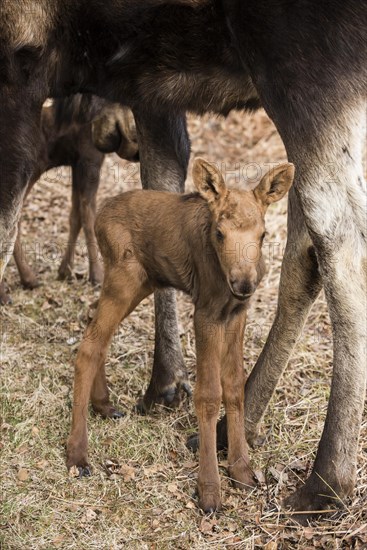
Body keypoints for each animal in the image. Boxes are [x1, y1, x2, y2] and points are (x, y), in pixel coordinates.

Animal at [0, 98, 138, 306]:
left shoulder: (75, 161)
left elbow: (75, 215)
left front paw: (65, 270)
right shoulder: (90, 155)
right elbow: (88, 215)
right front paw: (96, 275)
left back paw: (27, 279)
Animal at [67, 158, 296, 512]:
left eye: (263, 234)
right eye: (220, 233)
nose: (244, 283)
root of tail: (102, 214)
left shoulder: (237, 311)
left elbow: (234, 387)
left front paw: (242, 472)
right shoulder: (205, 311)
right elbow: (209, 394)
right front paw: (210, 490)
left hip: (142, 282)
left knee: (95, 330)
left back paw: (104, 405)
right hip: (125, 278)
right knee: (90, 344)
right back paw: (77, 454)